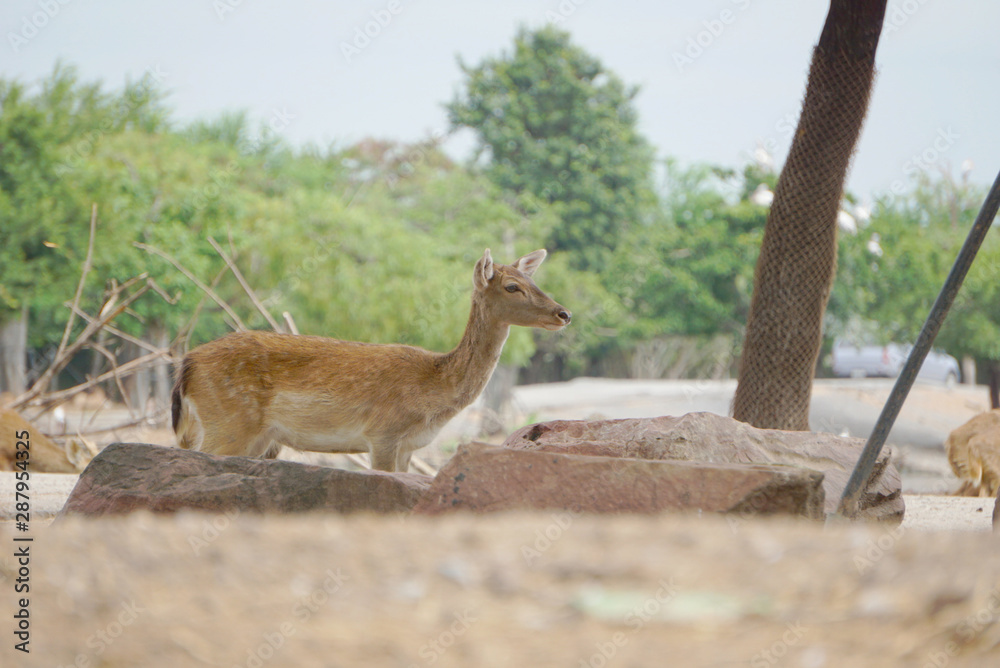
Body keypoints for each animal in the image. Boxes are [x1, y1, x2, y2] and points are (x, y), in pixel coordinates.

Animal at [171, 248, 570, 472]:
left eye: (533, 280)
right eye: (512, 287)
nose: (563, 313)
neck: (434, 393)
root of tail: (186, 365)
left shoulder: (408, 447)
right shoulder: (383, 433)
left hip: (247, 437)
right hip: (228, 424)